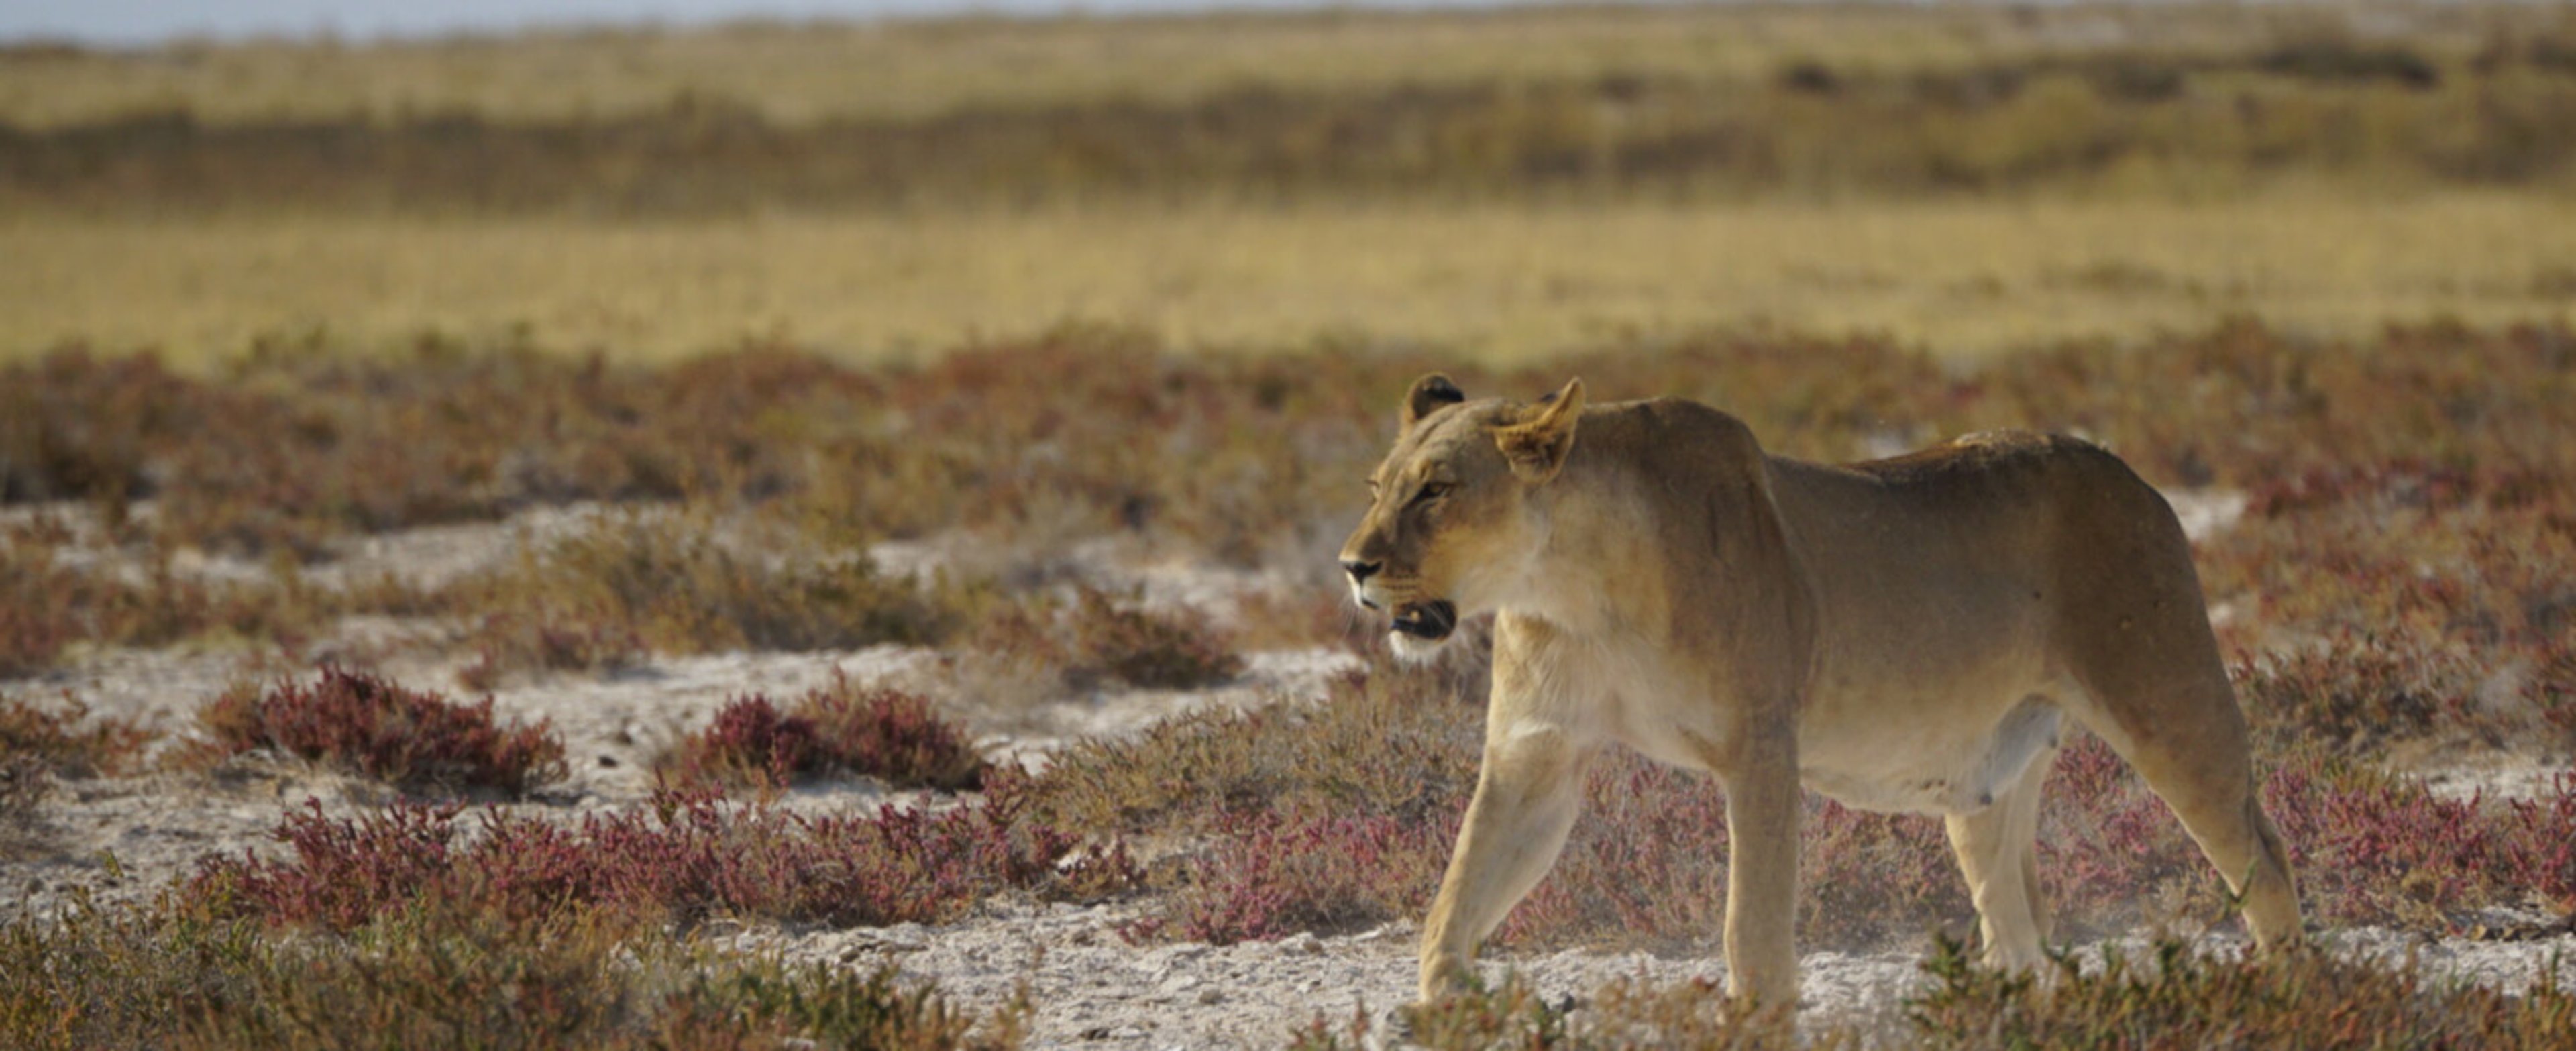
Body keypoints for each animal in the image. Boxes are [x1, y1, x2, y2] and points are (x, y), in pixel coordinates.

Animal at [1337, 374, 2302, 1009]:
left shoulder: (1762, 747)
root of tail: (2127, 470)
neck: (1573, 586)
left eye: (1437, 489)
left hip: (2171, 702)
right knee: (2017, 923)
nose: (1352, 566)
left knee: (2262, 857)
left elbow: (1753, 925)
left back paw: (2297, 992)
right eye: (1378, 486)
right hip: (1986, 788)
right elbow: (1457, 896)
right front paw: (1442, 1005)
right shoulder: (1535, 753)